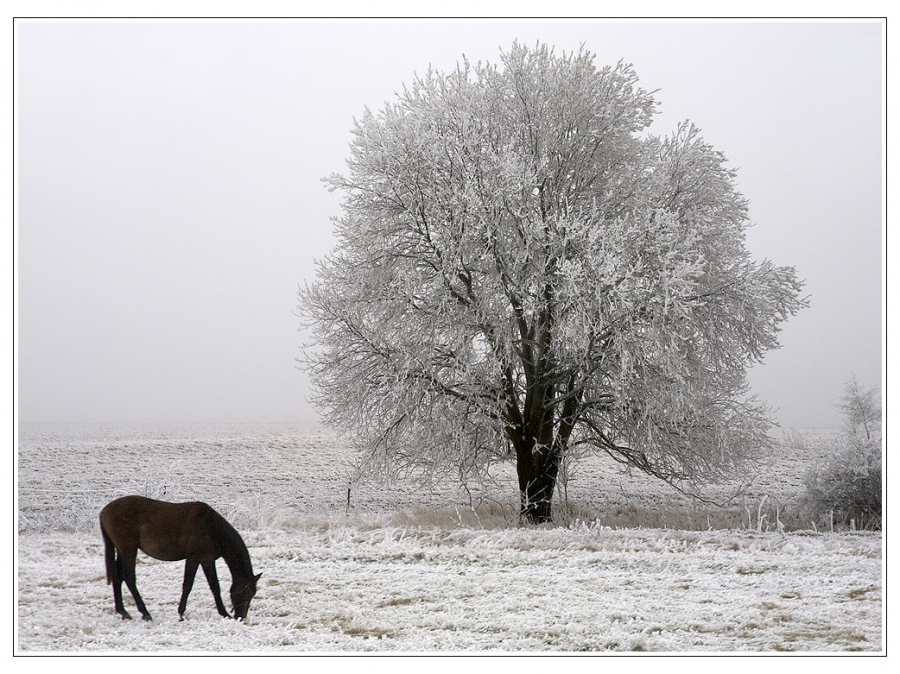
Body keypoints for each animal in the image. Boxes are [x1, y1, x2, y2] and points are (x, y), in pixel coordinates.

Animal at [99, 494, 260, 620]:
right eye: (246, 592)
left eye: (253, 593)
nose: (241, 617)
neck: (212, 527)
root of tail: (104, 510)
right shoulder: (193, 558)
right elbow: (188, 584)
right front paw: (181, 613)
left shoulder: (207, 561)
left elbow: (215, 586)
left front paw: (224, 613)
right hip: (128, 550)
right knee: (129, 578)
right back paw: (145, 613)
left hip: (122, 550)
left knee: (118, 576)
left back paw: (123, 611)